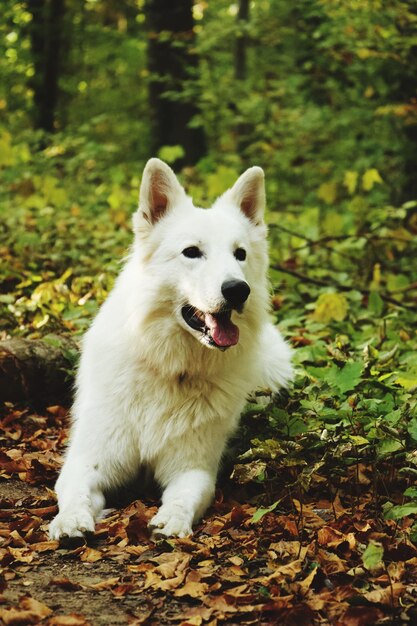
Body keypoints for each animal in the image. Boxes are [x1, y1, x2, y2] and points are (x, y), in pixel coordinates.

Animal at [49, 157, 292, 536]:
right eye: (191, 252)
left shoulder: (193, 469)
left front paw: (172, 521)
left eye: (240, 254)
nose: (238, 290)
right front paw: (72, 521)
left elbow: (183, 496)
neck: (170, 368)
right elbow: (74, 491)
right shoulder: (90, 459)